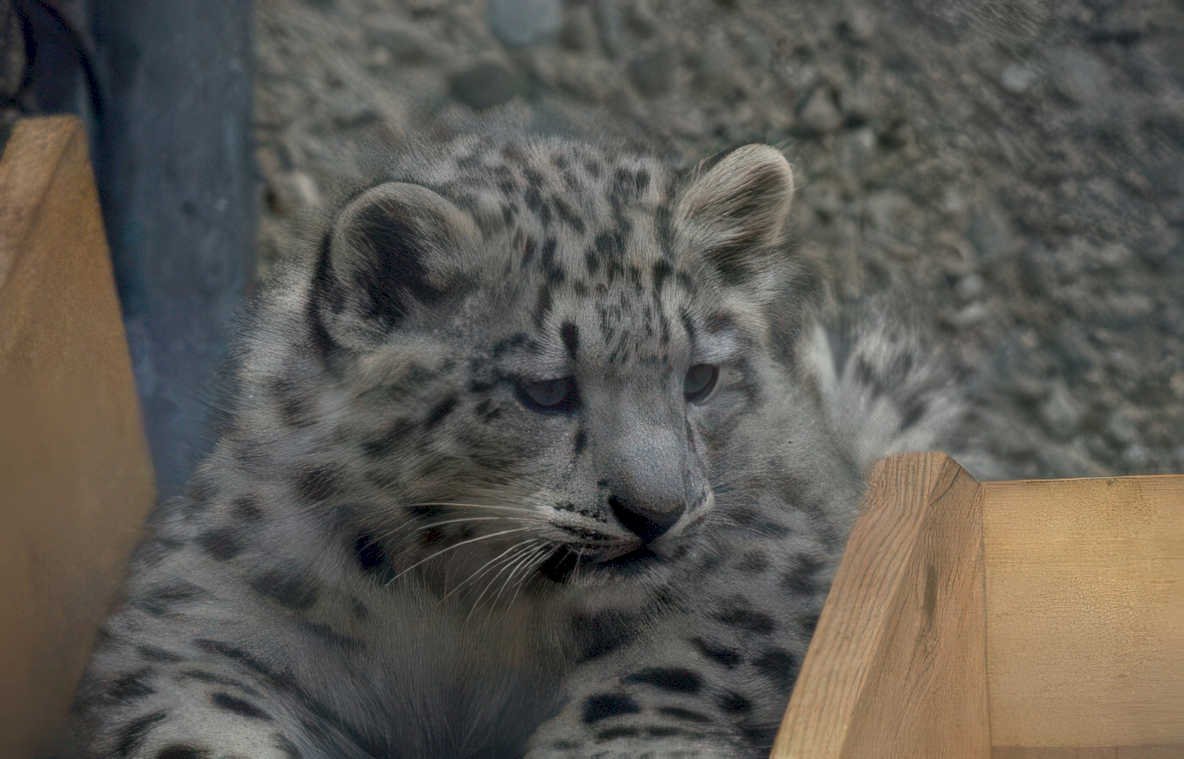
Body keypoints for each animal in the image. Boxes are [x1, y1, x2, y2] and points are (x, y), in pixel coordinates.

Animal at [70, 132, 971, 758]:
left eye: (700, 378)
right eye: (546, 390)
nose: (658, 510)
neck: (464, 604)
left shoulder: (769, 565)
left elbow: (676, 659)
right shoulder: (209, 613)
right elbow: (196, 712)